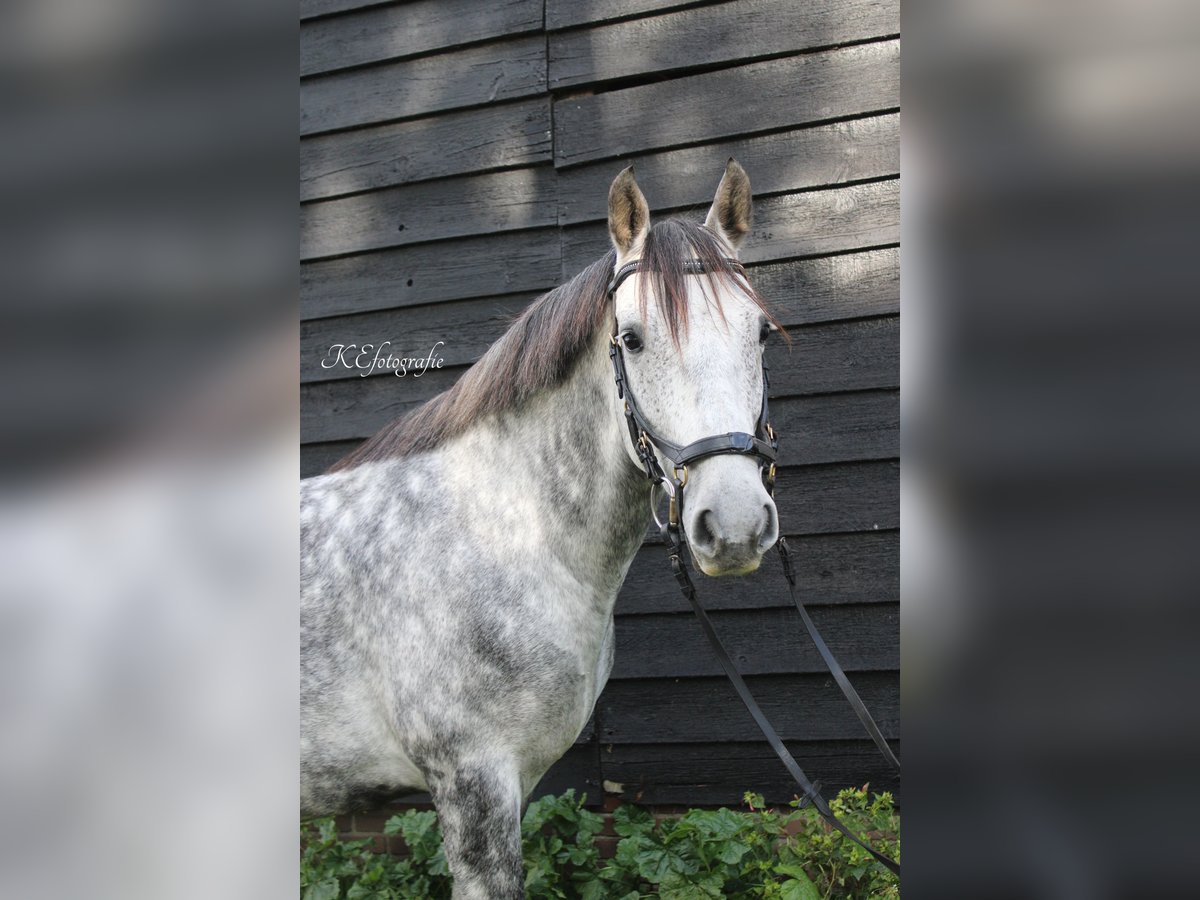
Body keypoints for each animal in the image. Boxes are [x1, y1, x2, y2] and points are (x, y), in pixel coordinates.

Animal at [304, 158, 782, 897]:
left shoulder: (517, 783)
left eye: (758, 333)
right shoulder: (473, 787)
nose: (733, 527)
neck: (498, 533)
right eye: (632, 338)